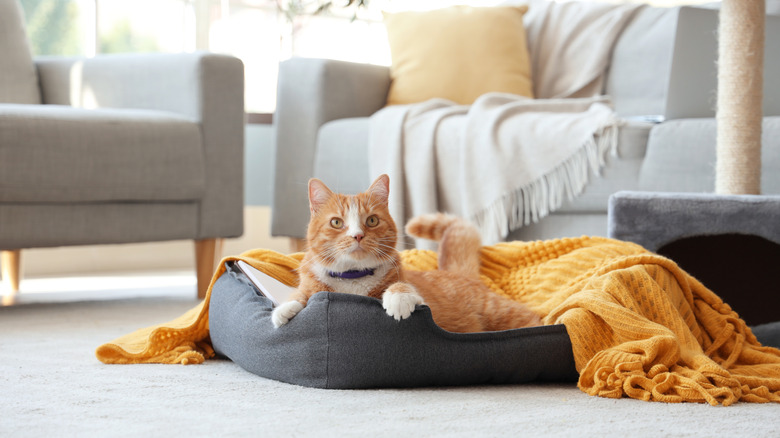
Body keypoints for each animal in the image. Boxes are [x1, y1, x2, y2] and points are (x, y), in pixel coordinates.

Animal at [272, 175, 540, 332]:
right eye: (337, 223)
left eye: (371, 220)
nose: (357, 236)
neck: (353, 278)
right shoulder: (310, 284)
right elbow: (300, 294)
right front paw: (284, 310)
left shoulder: (418, 297)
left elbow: (402, 286)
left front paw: (398, 300)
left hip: (498, 311)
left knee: (534, 319)